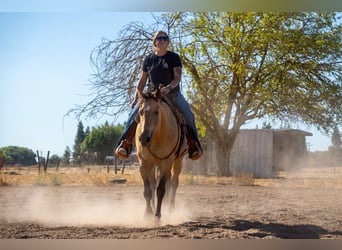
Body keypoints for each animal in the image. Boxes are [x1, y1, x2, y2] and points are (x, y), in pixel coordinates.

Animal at [135, 88, 187, 219]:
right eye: (140, 112)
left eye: (156, 111)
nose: (144, 138)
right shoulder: (143, 162)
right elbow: (148, 190)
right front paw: (148, 212)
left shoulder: (166, 162)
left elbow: (161, 189)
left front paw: (157, 215)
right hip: (154, 164)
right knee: (154, 183)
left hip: (177, 160)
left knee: (173, 183)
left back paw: (171, 209)